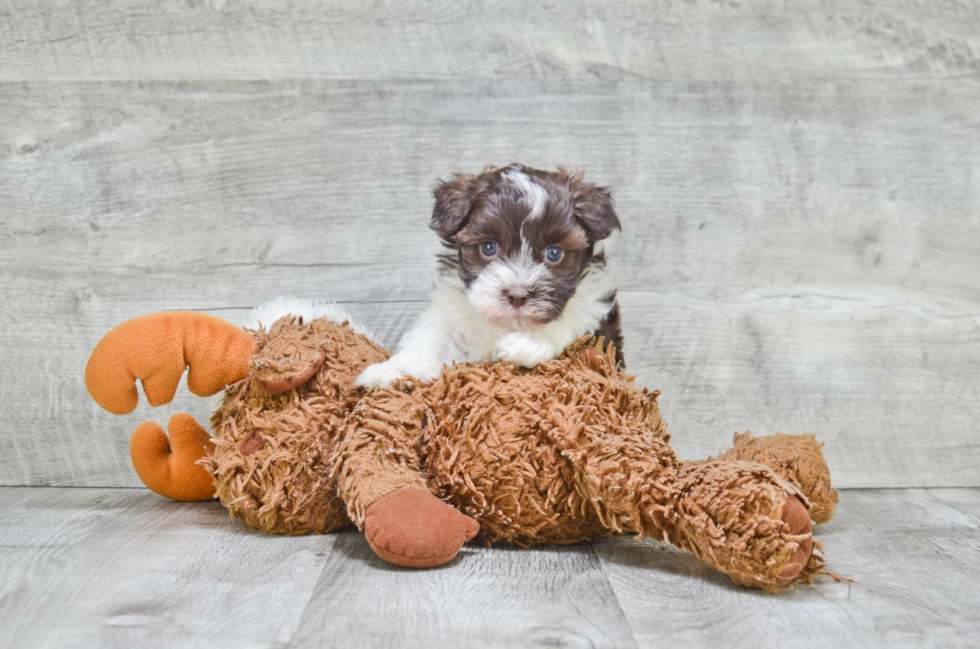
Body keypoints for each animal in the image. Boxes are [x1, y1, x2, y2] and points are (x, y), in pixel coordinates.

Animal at [356, 163, 624, 390]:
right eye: (488, 248)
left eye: (554, 253)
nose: (517, 295)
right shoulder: (448, 316)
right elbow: (428, 343)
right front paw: (391, 372)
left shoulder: (595, 307)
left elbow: (572, 320)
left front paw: (527, 342)